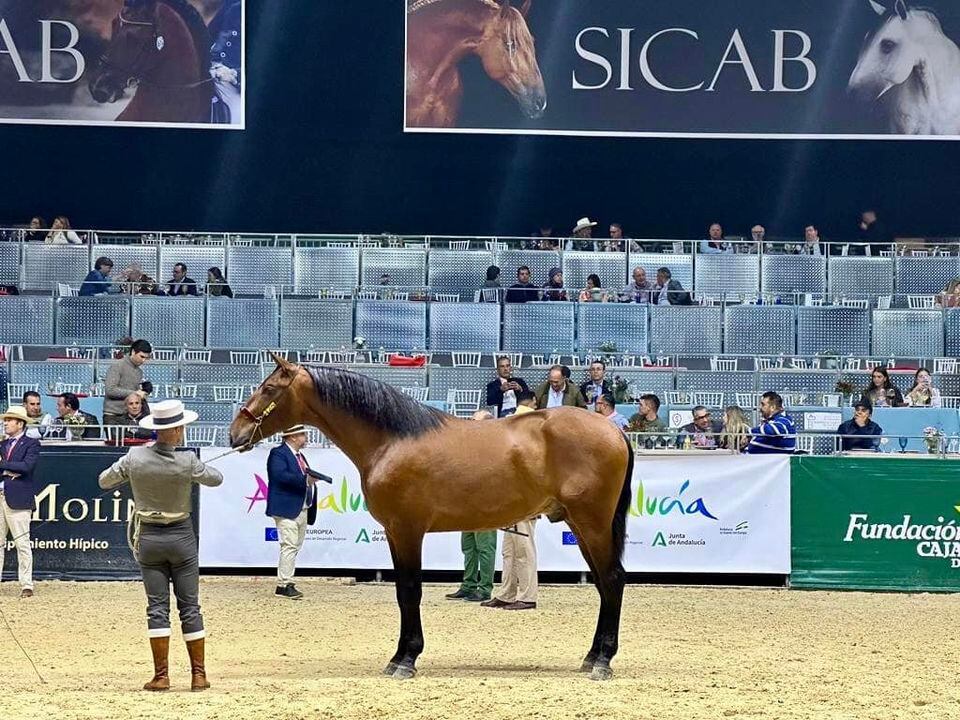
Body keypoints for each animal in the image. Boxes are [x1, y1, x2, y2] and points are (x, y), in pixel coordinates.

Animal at [232, 358, 632, 684]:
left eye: (269, 389)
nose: (235, 433)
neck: (392, 440)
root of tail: (614, 431)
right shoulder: (395, 533)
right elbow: (401, 592)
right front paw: (398, 657)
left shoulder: (407, 529)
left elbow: (410, 590)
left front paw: (406, 659)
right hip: (581, 526)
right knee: (603, 583)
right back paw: (592, 656)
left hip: (592, 523)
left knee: (612, 580)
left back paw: (603, 662)